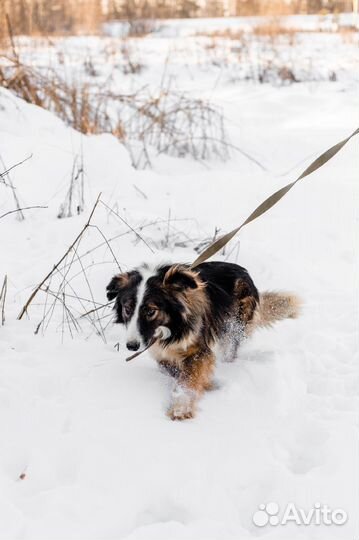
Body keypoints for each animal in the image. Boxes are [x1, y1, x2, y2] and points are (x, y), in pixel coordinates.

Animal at [107, 262, 300, 422]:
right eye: (127, 309)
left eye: (150, 311)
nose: (132, 346)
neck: (171, 326)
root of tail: (244, 272)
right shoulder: (162, 354)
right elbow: (173, 370)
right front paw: (204, 385)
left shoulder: (198, 350)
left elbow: (188, 379)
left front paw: (181, 407)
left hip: (233, 327)